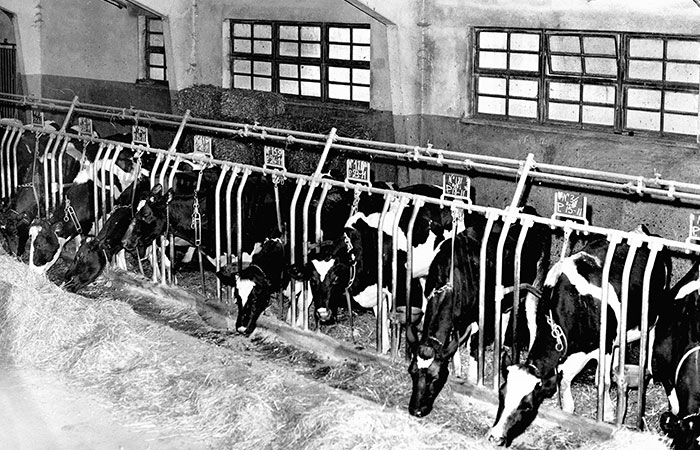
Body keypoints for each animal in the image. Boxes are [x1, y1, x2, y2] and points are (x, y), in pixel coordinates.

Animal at [406, 206, 551, 418]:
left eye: (436, 377)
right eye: (412, 371)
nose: (416, 410)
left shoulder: (480, 315)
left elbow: (474, 345)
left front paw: (472, 377)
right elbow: (455, 343)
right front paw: (458, 369)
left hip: (536, 283)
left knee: (532, 321)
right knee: (506, 317)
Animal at [489, 226, 671, 447]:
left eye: (527, 405)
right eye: (502, 395)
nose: (495, 436)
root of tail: (643, 231)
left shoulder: (605, 345)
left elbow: (603, 382)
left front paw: (608, 414)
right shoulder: (570, 353)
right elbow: (565, 383)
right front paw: (567, 414)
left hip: (654, 313)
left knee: (650, 339)